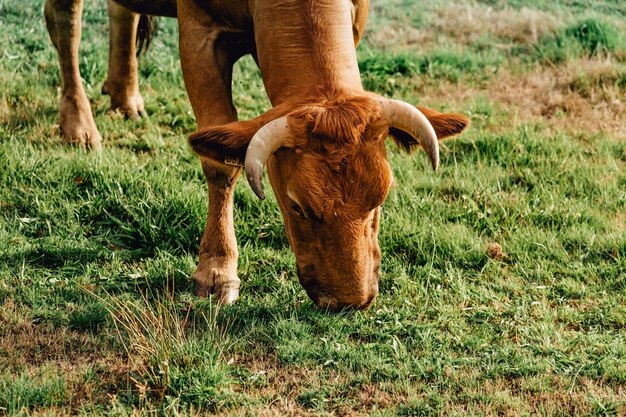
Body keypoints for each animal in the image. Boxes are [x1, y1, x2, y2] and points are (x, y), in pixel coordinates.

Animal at [178, 0, 466, 308]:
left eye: (381, 197)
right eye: (296, 206)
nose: (351, 301)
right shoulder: (198, 31)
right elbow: (220, 167)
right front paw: (217, 270)